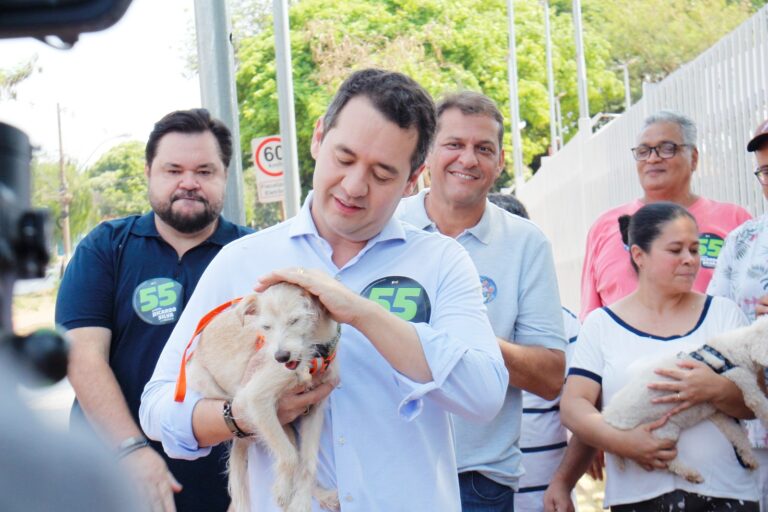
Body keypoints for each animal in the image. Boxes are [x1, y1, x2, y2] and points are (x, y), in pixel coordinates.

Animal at [183, 284, 340, 512]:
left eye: (295, 320)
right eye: (266, 327)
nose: (281, 357)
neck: (313, 355)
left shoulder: (315, 408)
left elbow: (308, 463)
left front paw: (301, 502)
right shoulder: (256, 398)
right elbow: (289, 456)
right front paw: (283, 490)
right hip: (215, 388)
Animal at [604, 316, 768, 484]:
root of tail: (608, 417)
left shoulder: (718, 411)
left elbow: (736, 433)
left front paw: (748, 457)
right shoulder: (739, 378)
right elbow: (759, 403)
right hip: (659, 433)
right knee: (669, 462)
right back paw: (691, 474)